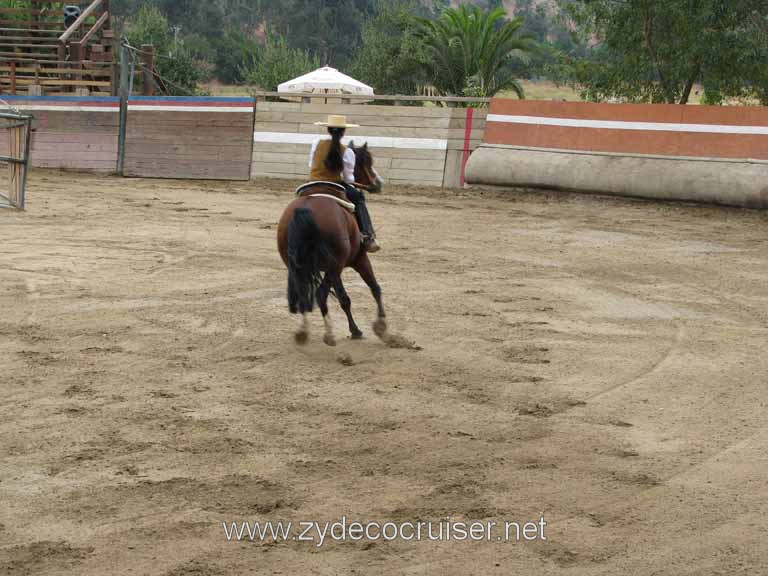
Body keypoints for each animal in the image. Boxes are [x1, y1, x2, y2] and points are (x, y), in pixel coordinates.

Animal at [276, 143, 388, 346]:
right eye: (367, 161)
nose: (378, 183)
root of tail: (305, 209)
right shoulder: (358, 259)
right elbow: (374, 287)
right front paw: (381, 327)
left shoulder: (336, 271)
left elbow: (344, 298)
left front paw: (355, 330)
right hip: (334, 265)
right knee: (320, 294)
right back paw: (328, 334)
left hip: (305, 267)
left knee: (304, 293)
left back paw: (303, 332)